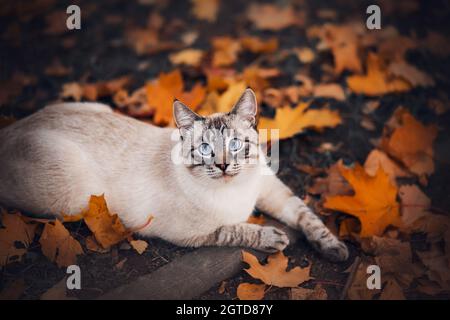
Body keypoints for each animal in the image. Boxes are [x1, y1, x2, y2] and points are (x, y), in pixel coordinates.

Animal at [0, 87, 348, 260]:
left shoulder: (270, 190)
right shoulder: (191, 235)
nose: (223, 165)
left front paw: (335, 249)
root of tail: (10, 130)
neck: (238, 193)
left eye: (235, 144)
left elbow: (307, 216)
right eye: (205, 149)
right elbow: (235, 230)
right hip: (70, 200)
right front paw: (273, 237)